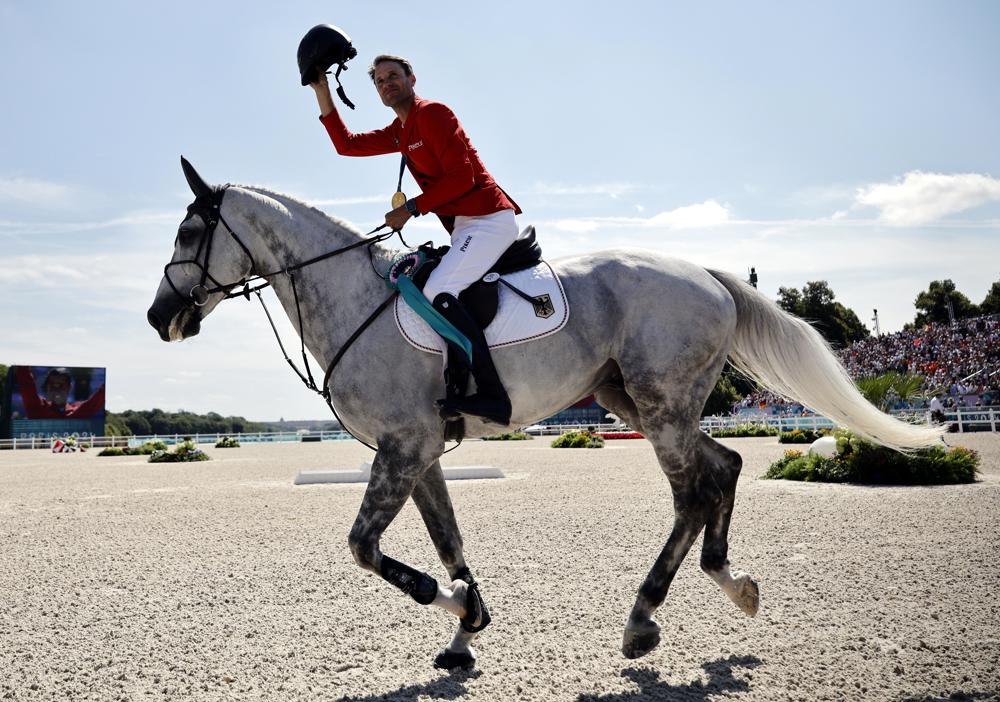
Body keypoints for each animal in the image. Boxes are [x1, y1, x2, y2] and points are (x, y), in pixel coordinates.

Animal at [145, 160, 940, 672]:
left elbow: (367, 550)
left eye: (189, 236)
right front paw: (467, 627)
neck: (350, 297)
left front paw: (452, 607)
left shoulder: (401, 449)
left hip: (660, 406)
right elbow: (448, 541)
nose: (159, 318)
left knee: (691, 493)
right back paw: (730, 581)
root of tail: (706, 275)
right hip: (639, 401)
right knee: (727, 466)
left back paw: (642, 620)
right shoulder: (419, 454)